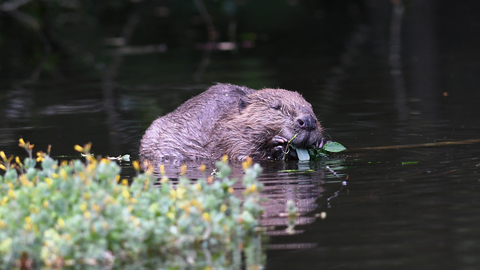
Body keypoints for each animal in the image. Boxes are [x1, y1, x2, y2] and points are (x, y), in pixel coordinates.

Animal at [140, 83, 326, 161]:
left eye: (310, 106)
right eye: (275, 107)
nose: (308, 121)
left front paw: (321, 143)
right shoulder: (229, 136)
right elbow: (242, 155)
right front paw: (277, 145)